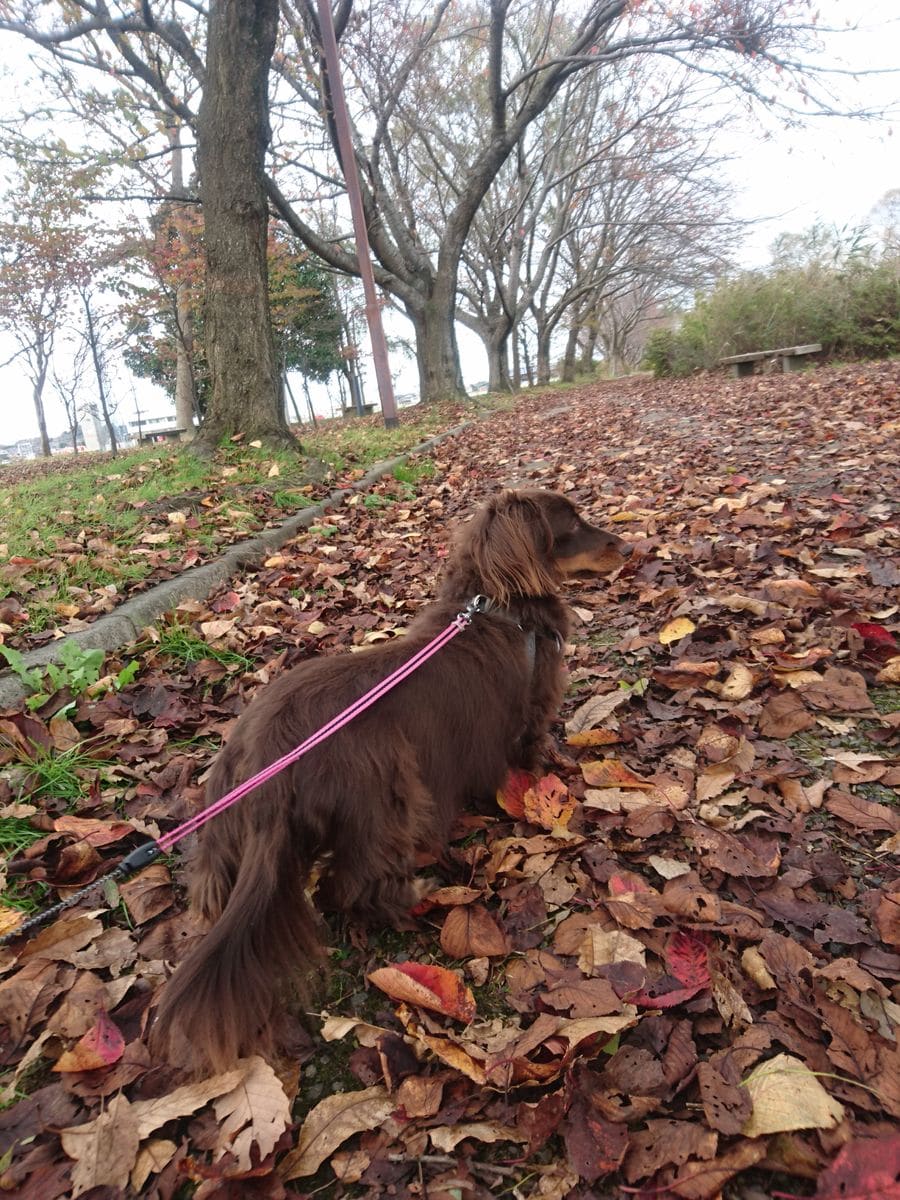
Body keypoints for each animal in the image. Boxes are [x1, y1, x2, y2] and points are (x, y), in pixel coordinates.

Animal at [154, 489, 628, 1070]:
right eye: (571, 526)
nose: (629, 547)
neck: (499, 610)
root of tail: (269, 767)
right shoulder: (532, 713)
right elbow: (535, 749)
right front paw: (550, 778)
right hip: (389, 791)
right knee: (351, 884)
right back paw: (416, 895)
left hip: (223, 814)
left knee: (218, 884)